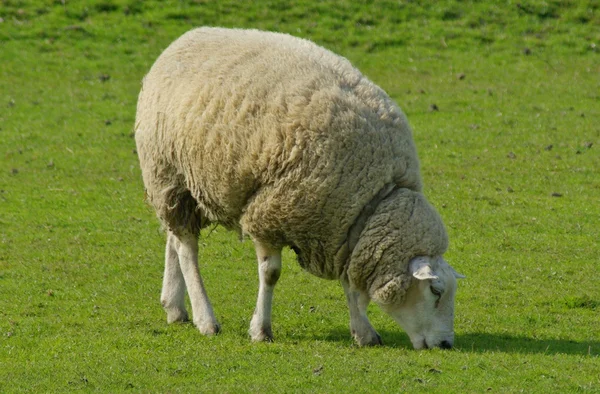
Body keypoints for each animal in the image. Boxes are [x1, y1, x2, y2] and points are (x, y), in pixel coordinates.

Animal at [136, 26, 464, 348]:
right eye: (435, 291)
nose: (446, 344)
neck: (373, 198)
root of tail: (185, 37)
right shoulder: (269, 214)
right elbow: (270, 274)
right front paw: (261, 330)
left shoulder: (342, 233)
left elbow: (349, 284)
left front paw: (363, 332)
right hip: (168, 173)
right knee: (187, 249)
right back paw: (205, 318)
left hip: (181, 185)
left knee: (174, 239)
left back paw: (174, 307)